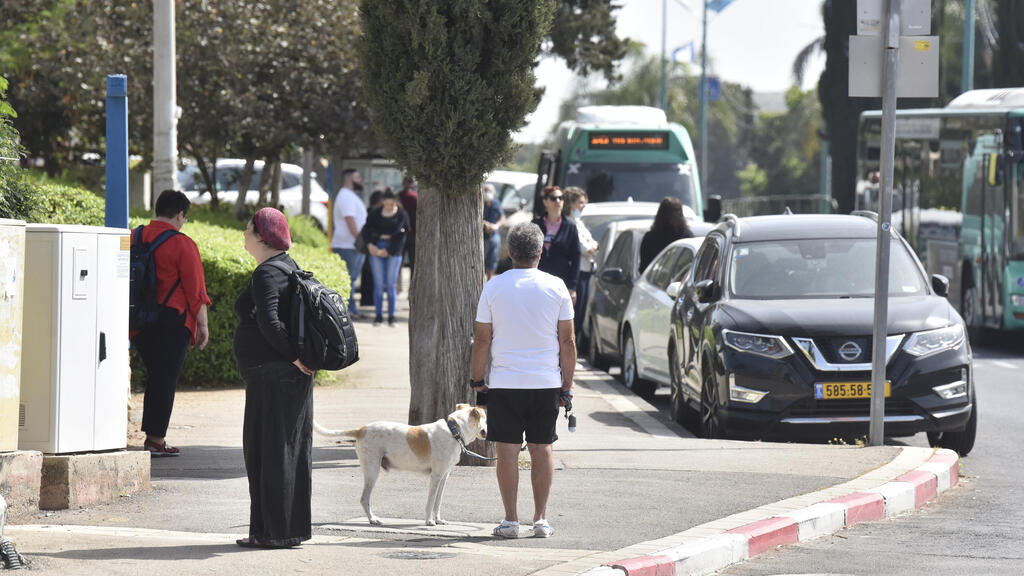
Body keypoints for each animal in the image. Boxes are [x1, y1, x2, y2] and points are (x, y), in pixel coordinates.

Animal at [311, 403, 487, 524]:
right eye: (485, 418)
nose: (487, 430)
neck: (454, 431)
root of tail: (361, 429)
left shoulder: (444, 476)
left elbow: (438, 501)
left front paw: (438, 519)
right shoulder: (436, 477)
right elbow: (430, 501)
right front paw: (429, 521)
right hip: (372, 471)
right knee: (364, 498)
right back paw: (373, 519)